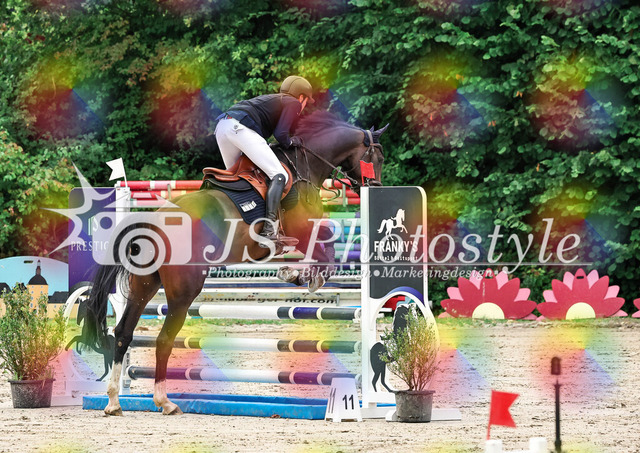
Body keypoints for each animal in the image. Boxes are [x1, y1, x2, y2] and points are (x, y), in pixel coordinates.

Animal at [81, 111, 387, 415]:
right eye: (379, 157)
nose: (376, 188)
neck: (305, 165)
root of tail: (153, 221)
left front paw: (298, 275)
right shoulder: (303, 228)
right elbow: (326, 248)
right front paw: (302, 276)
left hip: (144, 284)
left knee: (123, 332)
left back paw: (113, 402)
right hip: (183, 292)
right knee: (164, 339)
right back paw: (164, 401)